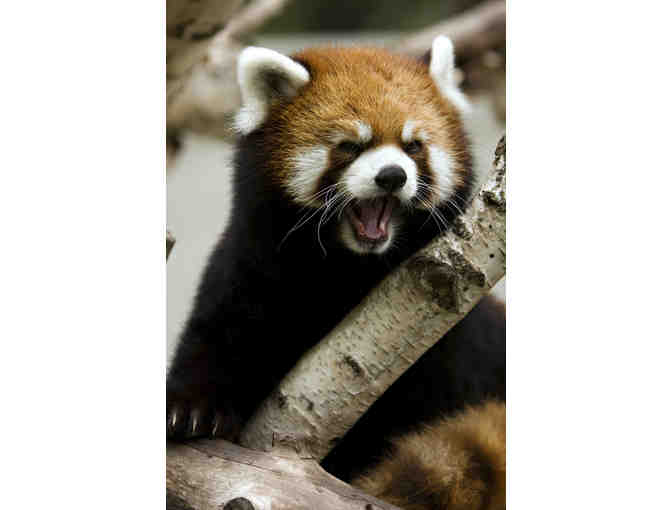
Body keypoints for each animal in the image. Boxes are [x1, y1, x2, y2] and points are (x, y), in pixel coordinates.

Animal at [167, 36, 505, 509]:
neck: (345, 269)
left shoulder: (453, 340)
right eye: (351, 145)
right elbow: (216, 332)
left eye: (413, 146)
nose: (392, 176)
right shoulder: (249, 265)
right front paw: (191, 407)